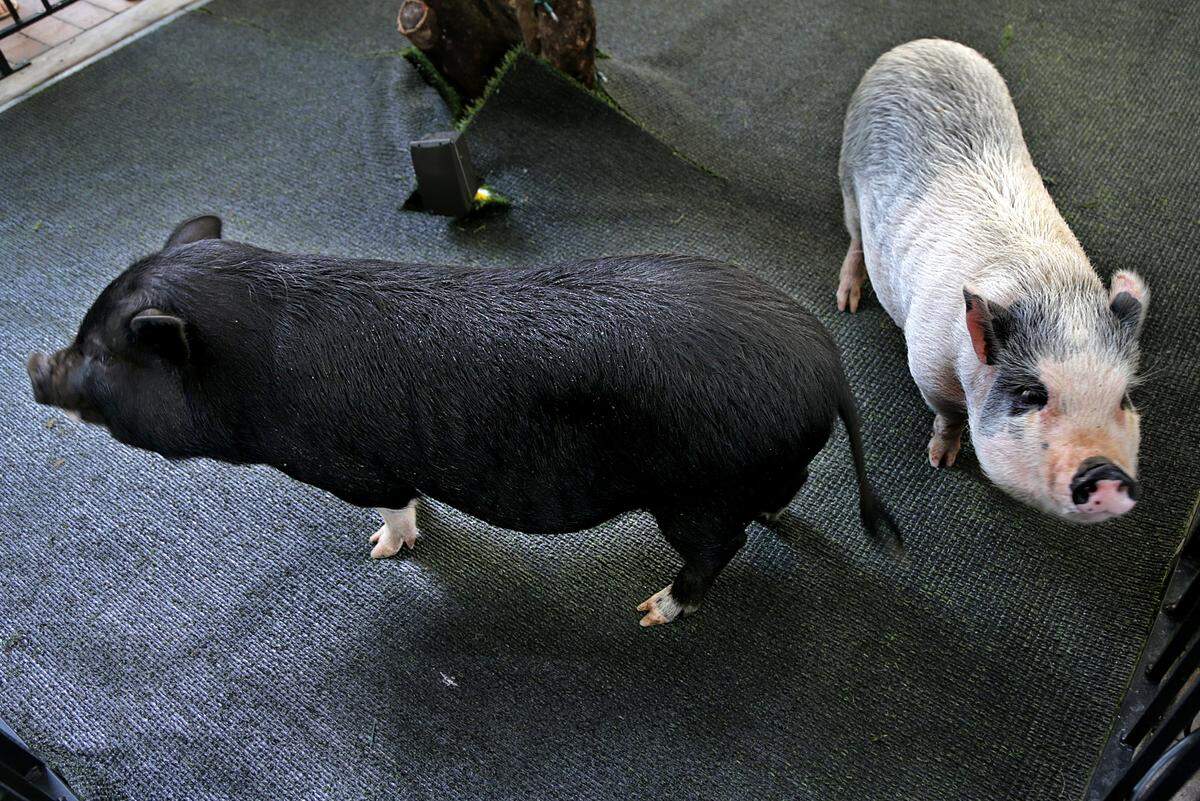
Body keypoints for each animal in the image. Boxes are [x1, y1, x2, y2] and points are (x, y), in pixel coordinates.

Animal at [28, 216, 901, 627]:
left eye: (101, 351)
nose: (35, 364)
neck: (253, 368)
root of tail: (825, 362)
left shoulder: (352, 463)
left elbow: (393, 503)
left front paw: (379, 550)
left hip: (692, 491)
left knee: (723, 545)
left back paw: (654, 609)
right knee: (781, 495)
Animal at [836, 38, 1149, 522]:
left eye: (1124, 399)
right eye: (1030, 393)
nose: (1105, 473)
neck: (1048, 289)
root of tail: (920, 45)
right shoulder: (926, 364)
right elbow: (948, 416)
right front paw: (939, 461)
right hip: (848, 175)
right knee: (854, 238)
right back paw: (847, 302)